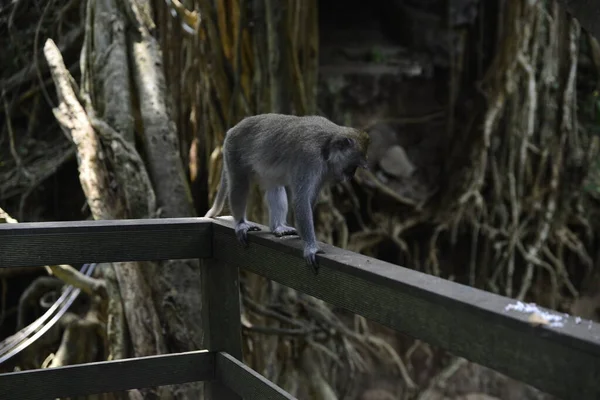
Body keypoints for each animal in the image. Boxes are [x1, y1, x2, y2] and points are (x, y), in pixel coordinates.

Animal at [204, 113, 368, 272]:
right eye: (353, 166)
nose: (350, 176)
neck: (326, 146)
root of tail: (234, 128)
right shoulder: (309, 157)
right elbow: (301, 199)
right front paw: (311, 247)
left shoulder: (323, 171)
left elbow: (310, 197)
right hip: (234, 151)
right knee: (239, 184)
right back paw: (240, 223)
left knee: (275, 187)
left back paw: (277, 227)